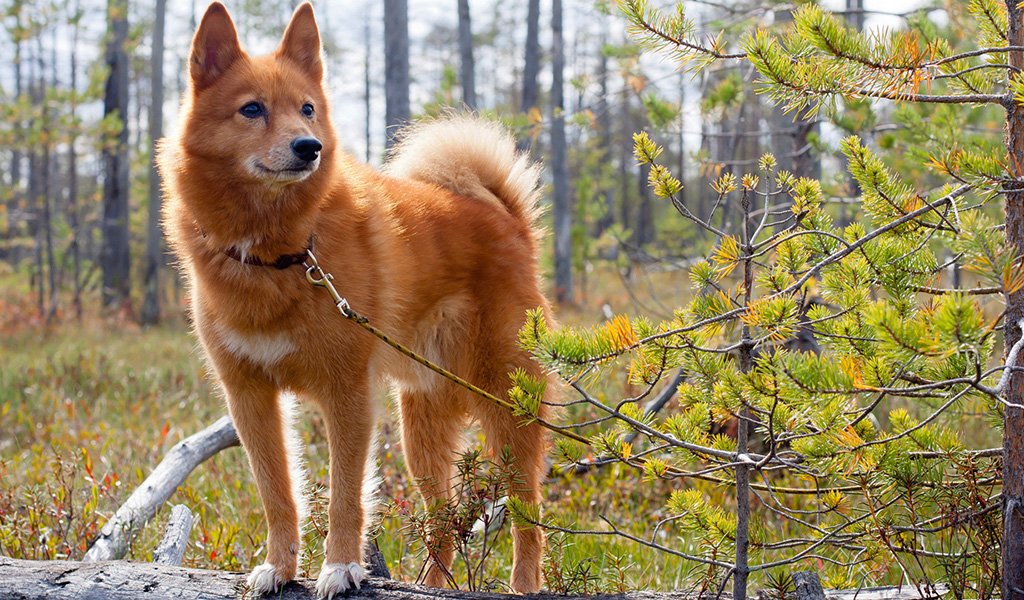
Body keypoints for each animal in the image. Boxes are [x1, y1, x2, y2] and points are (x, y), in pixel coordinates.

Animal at [160, 2, 557, 593]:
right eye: (251, 109)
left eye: (307, 109)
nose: (310, 146)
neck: (283, 253)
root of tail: (507, 221)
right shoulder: (250, 398)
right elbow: (278, 495)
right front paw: (279, 568)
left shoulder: (346, 393)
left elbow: (346, 495)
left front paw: (341, 566)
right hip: (422, 430)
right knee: (442, 523)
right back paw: (429, 585)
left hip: (506, 406)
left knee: (529, 515)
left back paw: (523, 583)